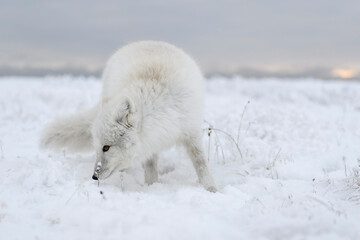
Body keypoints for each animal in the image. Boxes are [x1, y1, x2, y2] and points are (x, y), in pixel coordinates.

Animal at [41, 40, 217, 192]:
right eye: (97, 147)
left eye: (106, 147)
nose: (94, 177)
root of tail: (144, 41)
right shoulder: (149, 143)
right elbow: (151, 168)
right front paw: (151, 187)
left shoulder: (190, 131)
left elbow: (201, 163)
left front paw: (211, 189)